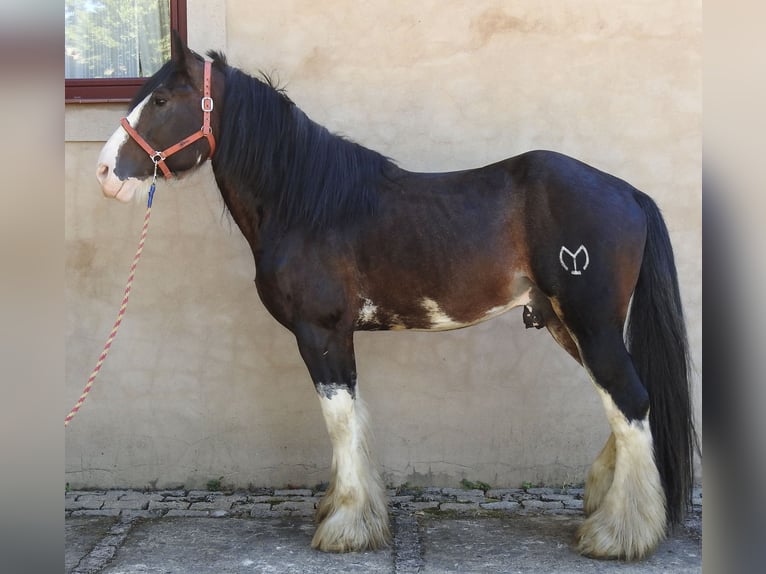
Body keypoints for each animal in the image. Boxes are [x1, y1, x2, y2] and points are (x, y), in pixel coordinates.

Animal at [94, 36, 696, 564]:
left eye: (162, 99)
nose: (105, 173)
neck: (308, 203)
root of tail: (627, 192)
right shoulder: (337, 338)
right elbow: (354, 420)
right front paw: (347, 512)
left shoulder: (321, 333)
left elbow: (339, 420)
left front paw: (345, 527)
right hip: (565, 325)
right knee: (619, 403)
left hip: (592, 324)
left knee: (630, 401)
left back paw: (620, 535)